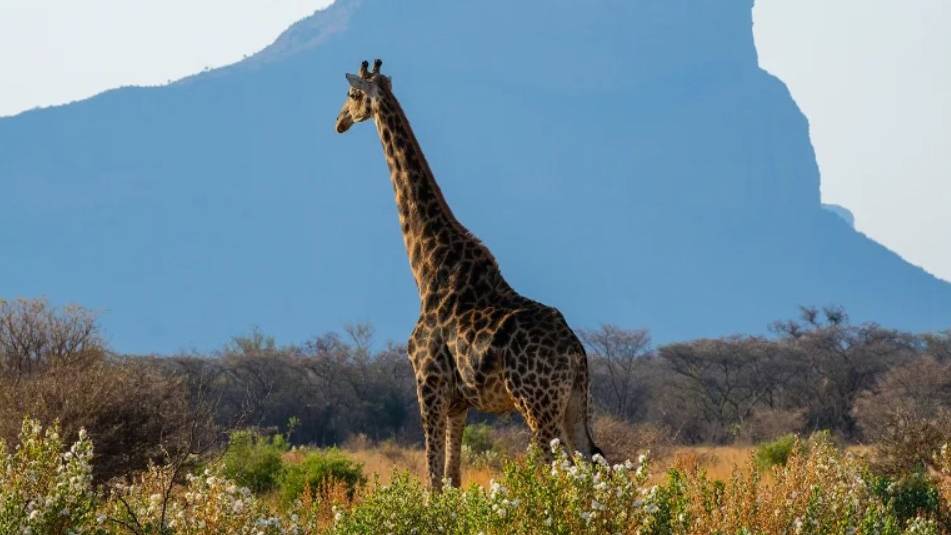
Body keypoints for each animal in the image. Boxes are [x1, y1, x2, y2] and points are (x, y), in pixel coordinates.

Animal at [335, 59, 602, 488]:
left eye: (352, 94)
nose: (339, 122)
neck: (427, 268)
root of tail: (576, 352)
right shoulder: (459, 402)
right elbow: (452, 477)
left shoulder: (428, 384)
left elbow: (432, 480)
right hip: (575, 403)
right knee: (595, 462)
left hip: (537, 405)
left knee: (554, 471)